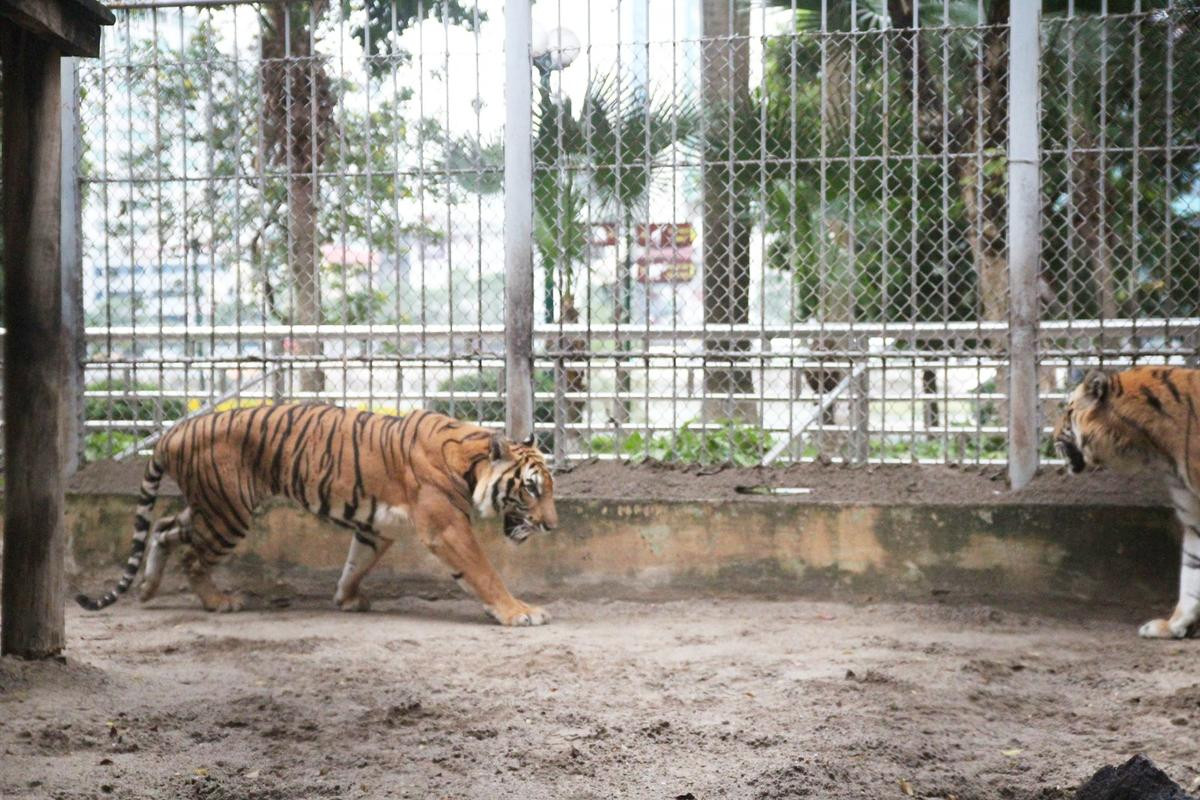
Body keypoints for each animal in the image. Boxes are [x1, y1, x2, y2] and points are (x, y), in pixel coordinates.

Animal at [77, 407, 554, 623]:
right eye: (530, 489)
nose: (552, 526)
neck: (469, 461)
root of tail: (173, 431)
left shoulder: (376, 528)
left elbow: (354, 565)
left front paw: (346, 599)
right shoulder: (447, 527)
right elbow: (484, 572)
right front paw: (519, 612)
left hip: (209, 507)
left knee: (162, 528)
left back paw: (148, 588)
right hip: (228, 512)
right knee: (192, 556)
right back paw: (218, 602)